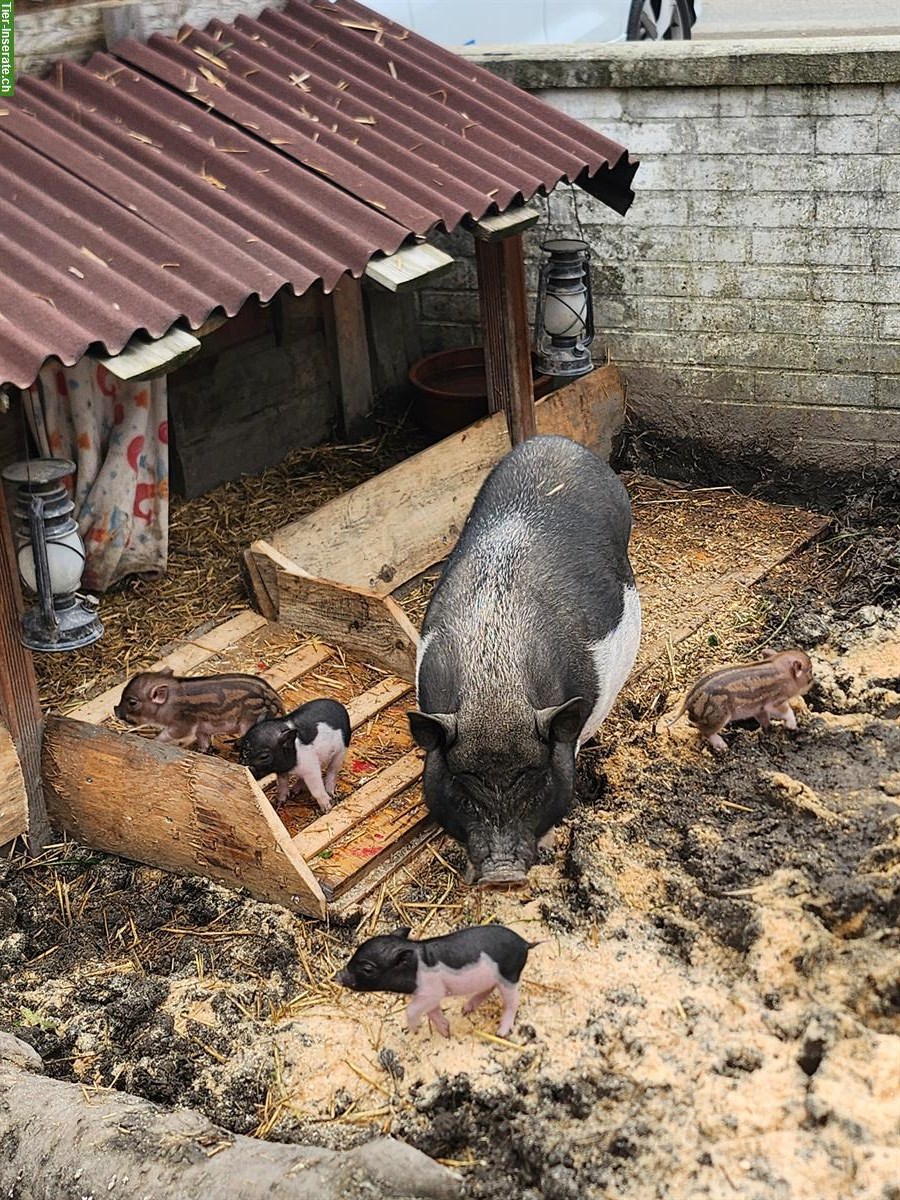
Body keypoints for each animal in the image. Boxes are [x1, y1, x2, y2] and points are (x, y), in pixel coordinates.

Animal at [336, 921, 535, 1036]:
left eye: (367, 968)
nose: (338, 976)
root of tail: (525, 943)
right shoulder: (428, 996)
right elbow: (431, 1011)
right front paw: (446, 1032)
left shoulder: (433, 991)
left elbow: (412, 1010)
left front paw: (414, 1031)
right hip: (494, 978)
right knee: (487, 989)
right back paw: (465, 1010)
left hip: (509, 975)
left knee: (513, 1002)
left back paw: (501, 1033)